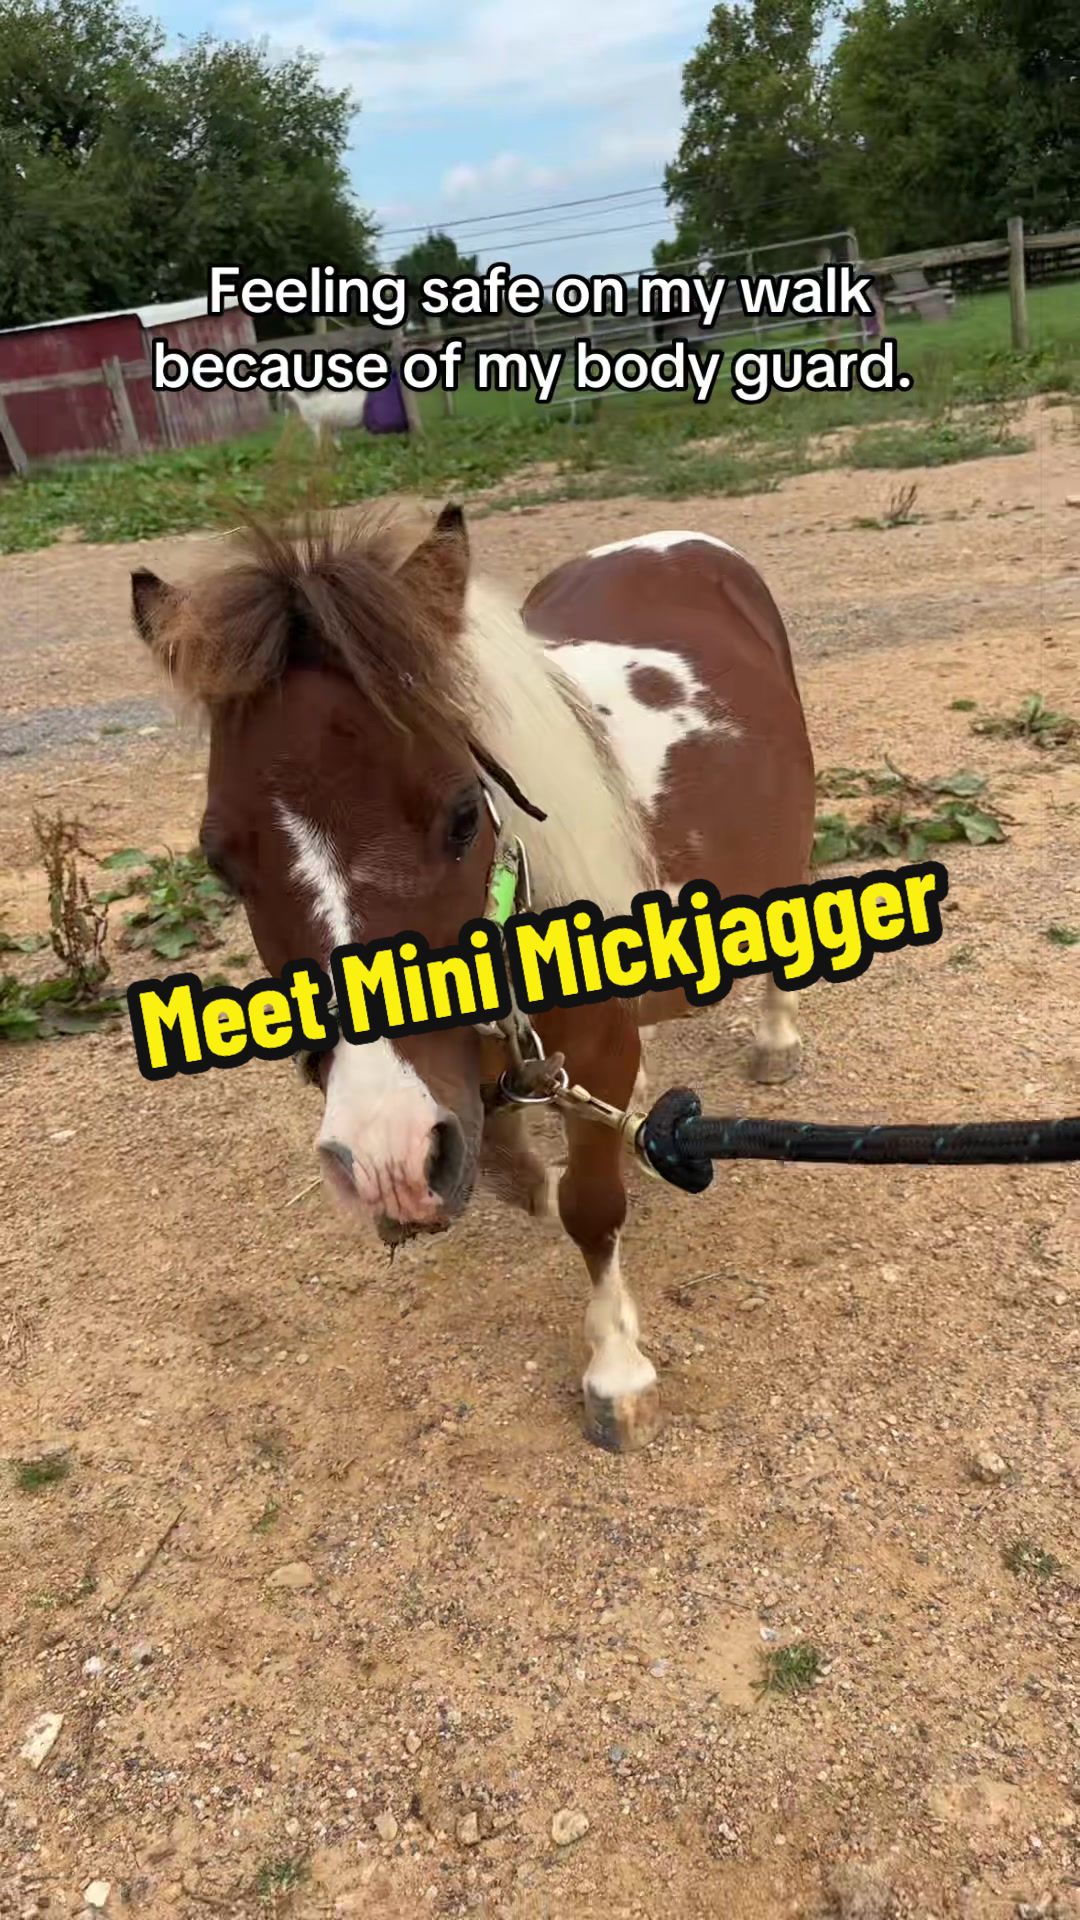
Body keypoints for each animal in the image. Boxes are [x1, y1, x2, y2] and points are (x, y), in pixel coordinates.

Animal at [129, 504, 815, 1452]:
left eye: (463, 817)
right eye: (221, 862)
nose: (380, 1159)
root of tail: (678, 540)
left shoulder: (590, 1055)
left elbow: (591, 1207)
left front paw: (615, 1371)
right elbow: (504, 1161)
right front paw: (534, 1172)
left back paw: (776, 1040)